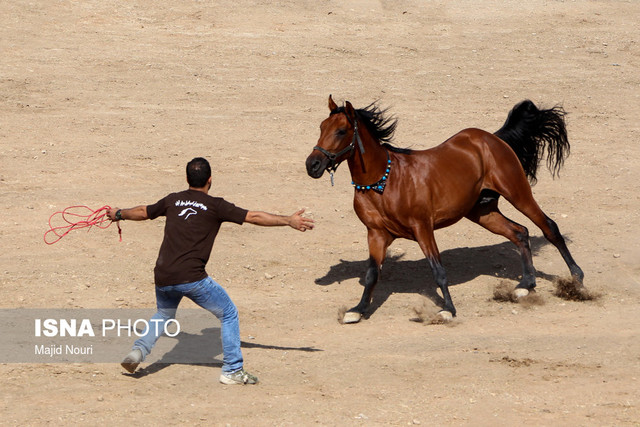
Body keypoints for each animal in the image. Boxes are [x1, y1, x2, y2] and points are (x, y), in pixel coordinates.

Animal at [304, 96, 584, 324]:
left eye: (341, 131)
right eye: (321, 127)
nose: (312, 165)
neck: (383, 182)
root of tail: (493, 138)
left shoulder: (423, 228)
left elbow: (438, 270)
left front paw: (448, 310)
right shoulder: (376, 234)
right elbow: (372, 273)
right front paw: (358, 310)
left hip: (518, 194)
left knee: (549, 227)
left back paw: (576, 279)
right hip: (482, 212)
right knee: (520, 232)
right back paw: (525, 284)